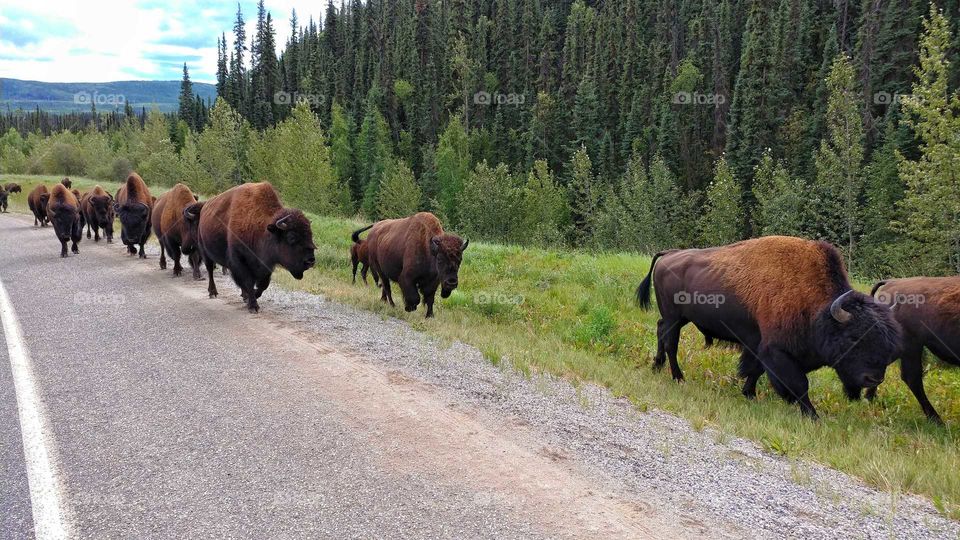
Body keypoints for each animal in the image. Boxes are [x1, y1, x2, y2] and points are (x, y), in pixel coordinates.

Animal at [181, 182, 316, 313]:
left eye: (310, 234)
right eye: (291, 237)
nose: (310, 261)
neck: (262, 229)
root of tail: (204, 209)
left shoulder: (266, 264)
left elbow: (263, 284)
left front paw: (251, 297)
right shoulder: (239, 260)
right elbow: (248, 281)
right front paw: (253, 305)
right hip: (205, 252)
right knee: (210, 271)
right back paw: (213, 292)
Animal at [636, 236, 902, 419]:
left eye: (888, 345)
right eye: (854, 338)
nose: (873, 379)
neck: (818, 307)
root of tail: (669, 254)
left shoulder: (758, 346)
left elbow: (755, 371)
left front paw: (749, 394)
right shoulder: (776, 351)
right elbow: (798, 384)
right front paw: (813, 416)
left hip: (678, 318)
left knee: (661, 332)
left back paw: (657, 367)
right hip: (674, 317)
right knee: (671, 343)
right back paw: (678, 378)